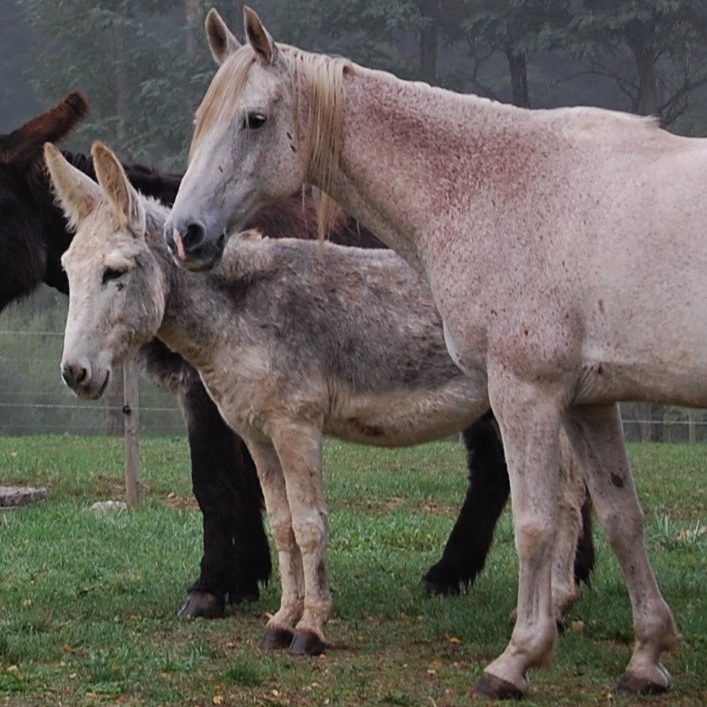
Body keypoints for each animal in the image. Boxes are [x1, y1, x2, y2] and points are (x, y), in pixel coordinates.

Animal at [42, 142, 592, 664]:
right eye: (69, 270)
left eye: (115, 272)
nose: (74, 373)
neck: (242, 310)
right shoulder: (256, 432)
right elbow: (283, 525)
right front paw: (281, 622)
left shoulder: (296, 426)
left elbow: (311, 526)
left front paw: (311, 629)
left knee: (565, 500)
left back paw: (552, 609)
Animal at [163, 5, 704, 700]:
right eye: (200, 120)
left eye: (253, 119)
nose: (185, 234)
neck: (498, 189)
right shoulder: (590, 400)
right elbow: (622, 519)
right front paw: (647, 656)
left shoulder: (526, 392)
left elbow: (536, 524)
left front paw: (516, 660)